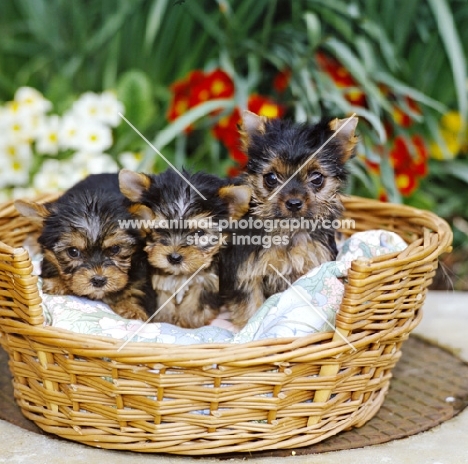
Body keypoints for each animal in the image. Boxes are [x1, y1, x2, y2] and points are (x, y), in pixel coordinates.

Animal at [14, 172, 155, 320]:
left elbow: (136, 288)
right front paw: (57, 282)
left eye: (115, 249)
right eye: (73, 251)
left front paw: (131, 308)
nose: (99, 280)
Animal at [220, 110, 358, 328]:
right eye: (271, 178)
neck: (288, 230)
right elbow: (251, 305)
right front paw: (249, 328)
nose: (293, 203)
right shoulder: (247, 270)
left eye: (317, 178)